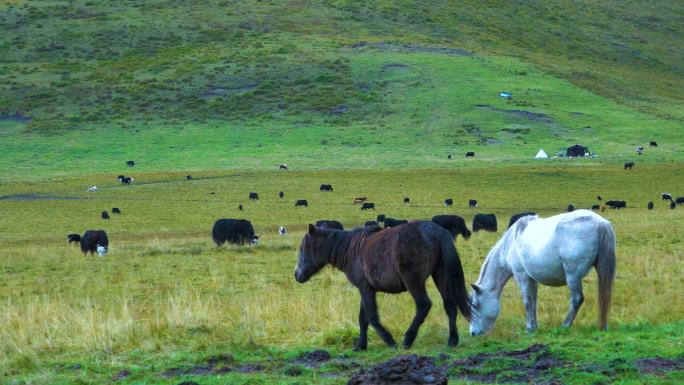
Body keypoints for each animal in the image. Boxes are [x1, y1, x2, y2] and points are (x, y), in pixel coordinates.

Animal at [294, 220, 470, 350]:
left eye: (303, 248)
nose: (297, 274)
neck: (352, 249)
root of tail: (438, 232)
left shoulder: (365, 289)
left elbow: (371, 316)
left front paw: (390, 341)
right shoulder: (366, 289)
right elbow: (363, 318)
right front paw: (360, 345)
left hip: (414, 282)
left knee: (424, 305)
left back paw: (408, 339)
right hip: (440, 275)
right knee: (449, 305)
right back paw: (452, 340)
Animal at [468, 208, 616, 334]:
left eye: (475, 305)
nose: (473, 333)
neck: (511, 243)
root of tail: (600, 222)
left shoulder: (523, 277)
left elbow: (527, 302)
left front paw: (529, 328)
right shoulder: (532, 279)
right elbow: (534, 301)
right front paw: (534, 326)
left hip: (572, 276)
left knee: (576, 299)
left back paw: (565, 325)